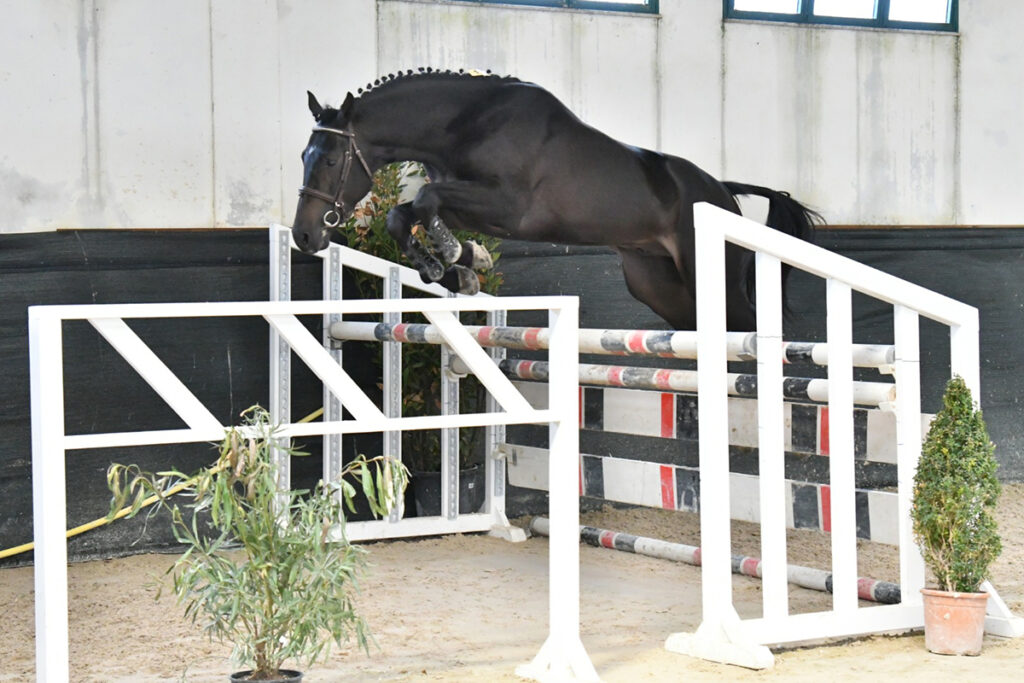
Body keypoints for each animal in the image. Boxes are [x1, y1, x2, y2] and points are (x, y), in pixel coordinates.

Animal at [292, 69, 819, 331]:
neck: (465, 122)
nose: (304, 235)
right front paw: (460, 265)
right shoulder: (470, 203)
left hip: (713, 277)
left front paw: (456, 260)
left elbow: (424, 197)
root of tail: (724, 195)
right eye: (303, 155)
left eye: (332, 160)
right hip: (657, 284)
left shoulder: (509, 207)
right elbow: (409, 215)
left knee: (749, 327)